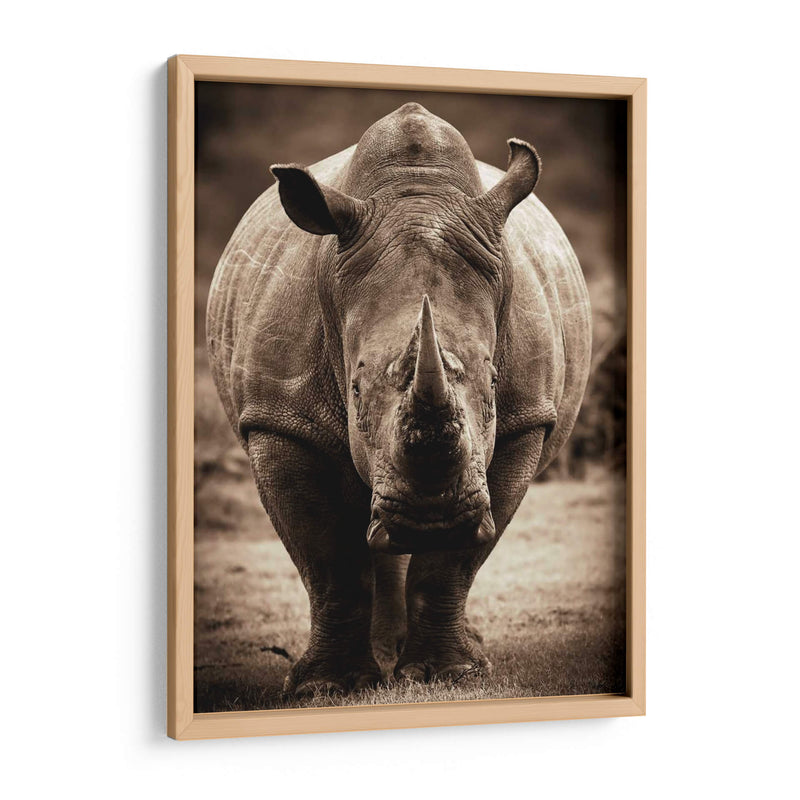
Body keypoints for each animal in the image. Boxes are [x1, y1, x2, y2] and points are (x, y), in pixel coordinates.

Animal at [206, 103, 591, 695]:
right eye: (355, 390)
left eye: (495, 384)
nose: (432, 519)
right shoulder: (278, 419)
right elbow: (327, 558)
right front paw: (331, 687)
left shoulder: (526, 419)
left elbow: (455, 564)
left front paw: (448, 675)